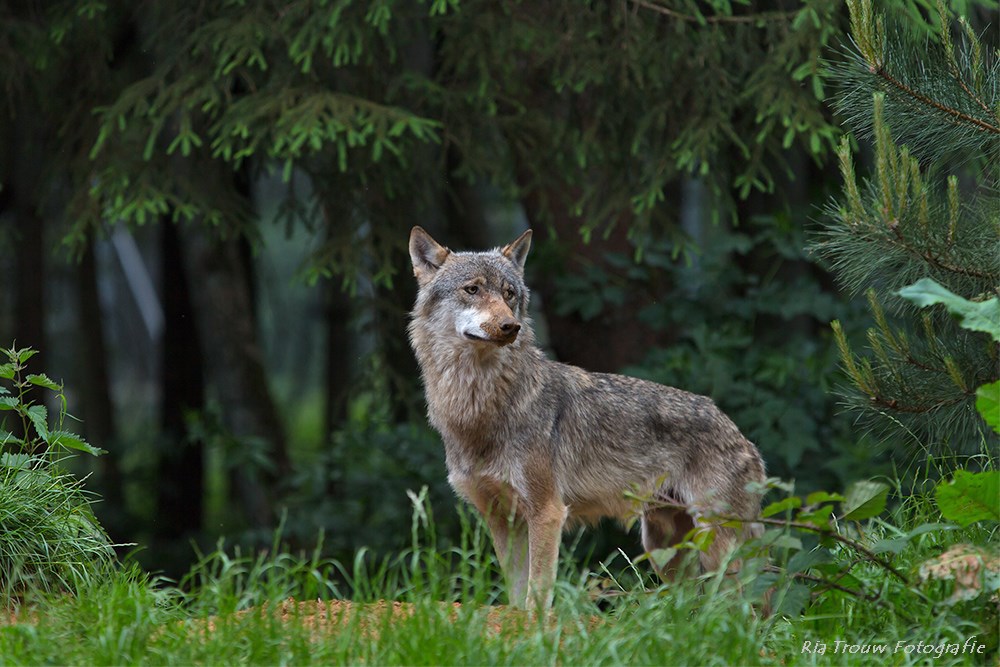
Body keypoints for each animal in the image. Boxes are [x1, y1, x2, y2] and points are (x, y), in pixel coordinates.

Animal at [406, 226, 764, 612]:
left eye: (509, 294)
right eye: (472, 289)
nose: (510, 326)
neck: (478, 407)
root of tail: (739, 433)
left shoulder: (547, 512)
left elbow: (537, 593)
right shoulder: (502, 520)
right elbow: (516, 594)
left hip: (716, 545)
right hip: (663, 550)